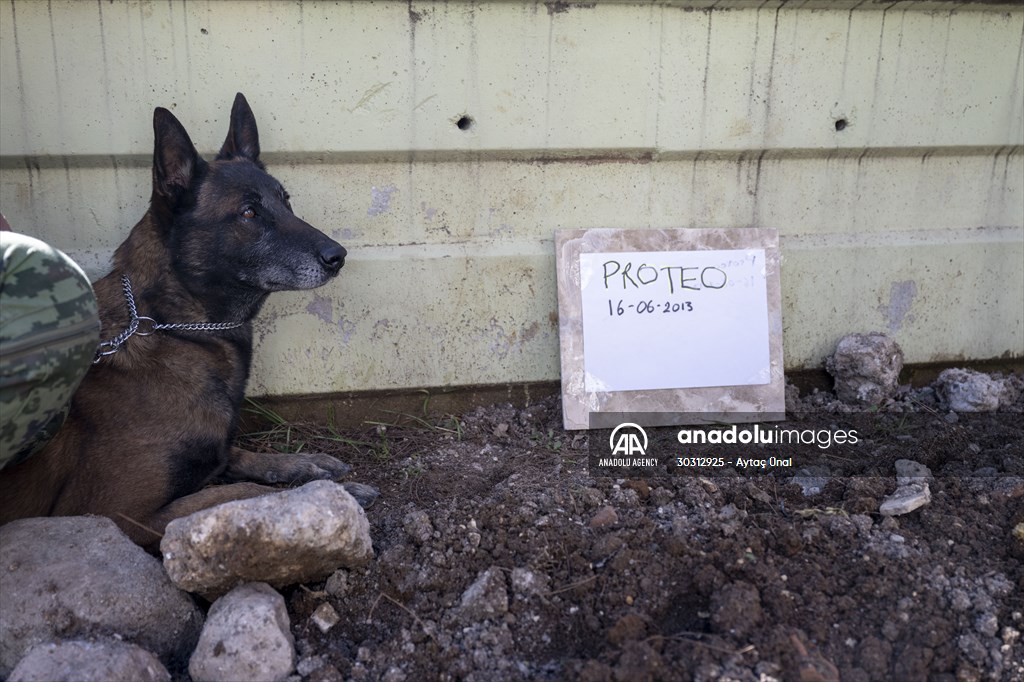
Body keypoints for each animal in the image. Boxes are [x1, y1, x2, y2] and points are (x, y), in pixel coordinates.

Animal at [0, 93, 376, 548]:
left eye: (286, 201)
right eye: (249, 213)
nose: (338, 256)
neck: (176, 328)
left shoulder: (214, 451)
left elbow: (239, 456)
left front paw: (306, 464)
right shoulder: (113, 512)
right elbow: (240, 493)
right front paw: (327, 493)